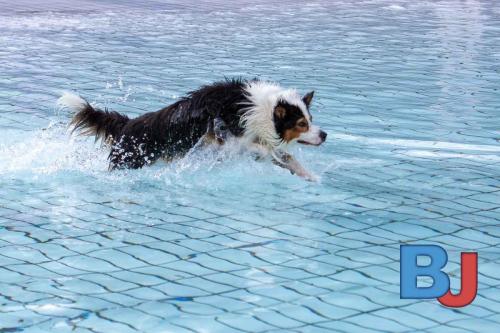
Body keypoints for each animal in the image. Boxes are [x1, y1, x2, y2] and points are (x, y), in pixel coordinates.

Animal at [57, 78, 328, 180]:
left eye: (310, 119)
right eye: (302, 124)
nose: (324, 135)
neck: (261, 109)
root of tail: (127, 123)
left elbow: (286, 156)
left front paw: (310, 176)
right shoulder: (220, 134)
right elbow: (255, 147)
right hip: (129, 161)